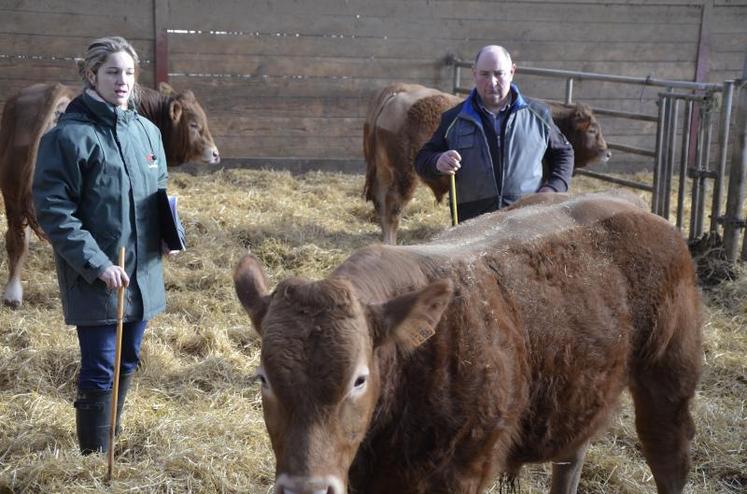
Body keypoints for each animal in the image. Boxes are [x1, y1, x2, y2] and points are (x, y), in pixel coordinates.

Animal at [0, 82, 221, 304]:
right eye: (193, 124)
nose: (215, 153)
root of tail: (55, 89)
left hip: (14, 189)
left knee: (18, 237)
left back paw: (13, 293)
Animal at [364, 83, 612, 245]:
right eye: (592, 130)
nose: (607, 153)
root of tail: (397, 92)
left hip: (384, 172)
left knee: (380, 203)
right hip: (404, 175)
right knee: (393, 209)